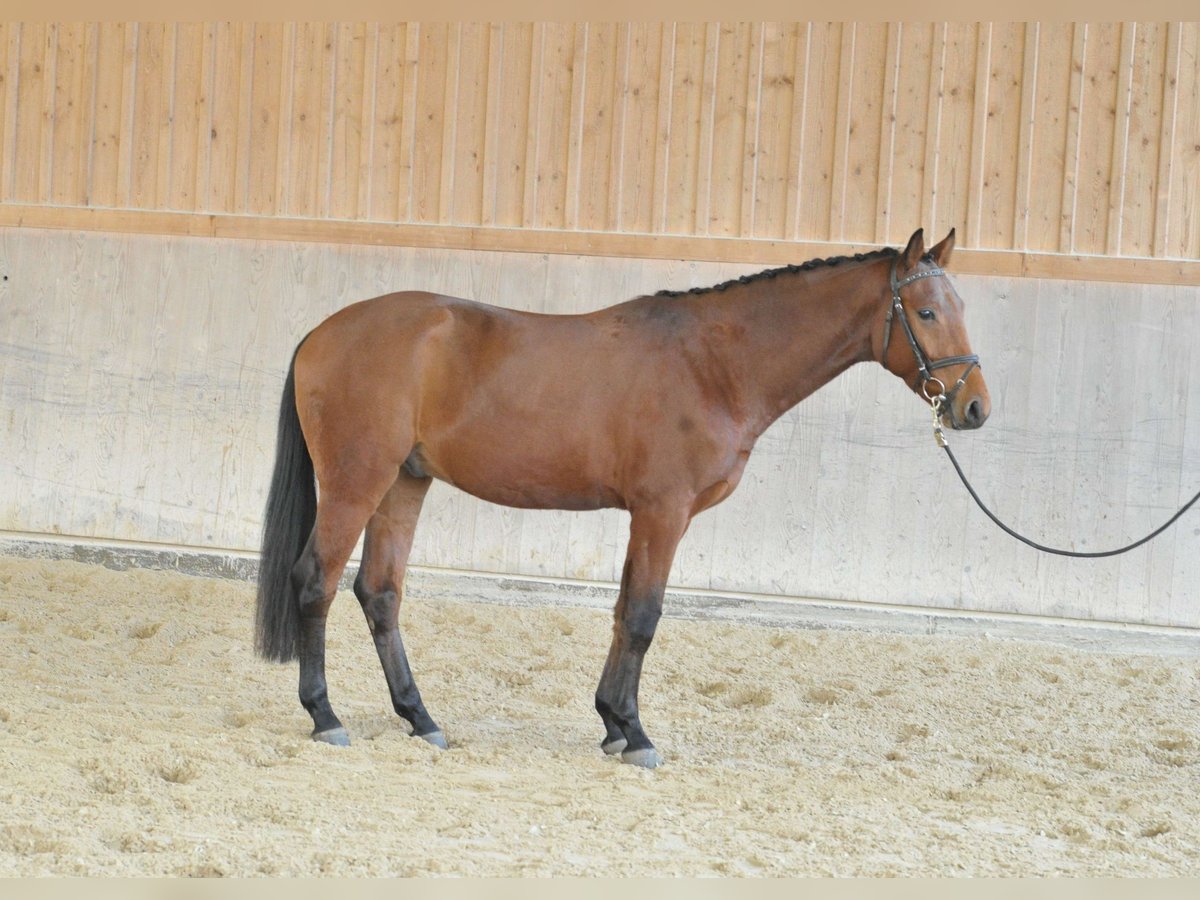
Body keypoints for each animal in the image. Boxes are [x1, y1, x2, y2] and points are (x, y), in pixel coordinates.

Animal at [254, 227, 990, 768]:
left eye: (960, 309)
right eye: (926, 312)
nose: (975, 408)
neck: (713, 364)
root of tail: (322, 333)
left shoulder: (649, 515)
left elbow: (620, 612)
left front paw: (611, 723)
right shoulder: (664, 512)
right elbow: (642, 616)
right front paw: (635, 735)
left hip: (404, 483)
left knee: (379, 592)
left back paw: (421, 718)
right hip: (357, 481)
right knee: (315, 581)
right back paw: (326, 717)